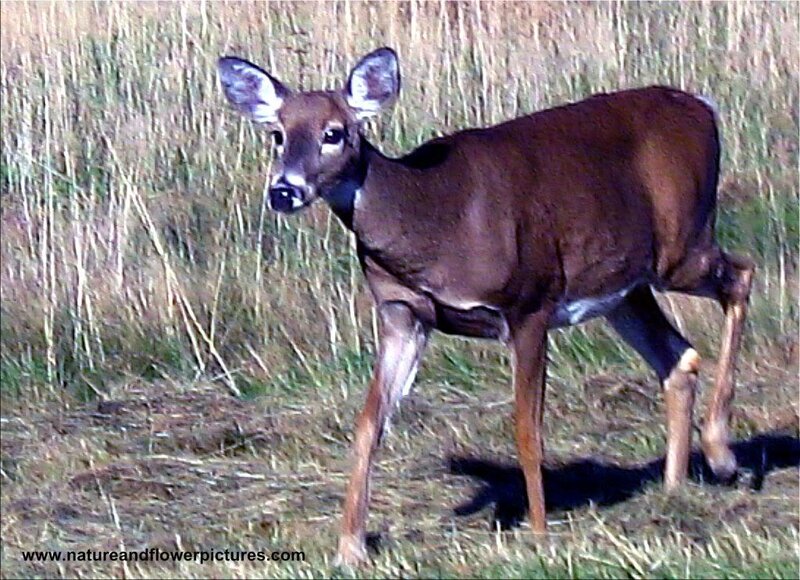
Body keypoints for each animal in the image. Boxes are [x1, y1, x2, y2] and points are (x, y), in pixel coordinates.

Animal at [217, 47, 754, 566]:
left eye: (335, 132)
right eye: (277, 134)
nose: (283, 190)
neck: (431, 220)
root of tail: (704, 107)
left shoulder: (530, 301)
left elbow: (526, 428)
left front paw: (539, 536)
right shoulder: (402, 314)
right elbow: (370, 422)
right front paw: (349, 548)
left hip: (680, 247)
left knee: (741, 277)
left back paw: (721, 452)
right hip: (624, 287)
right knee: (678, 356)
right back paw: (674, 490)